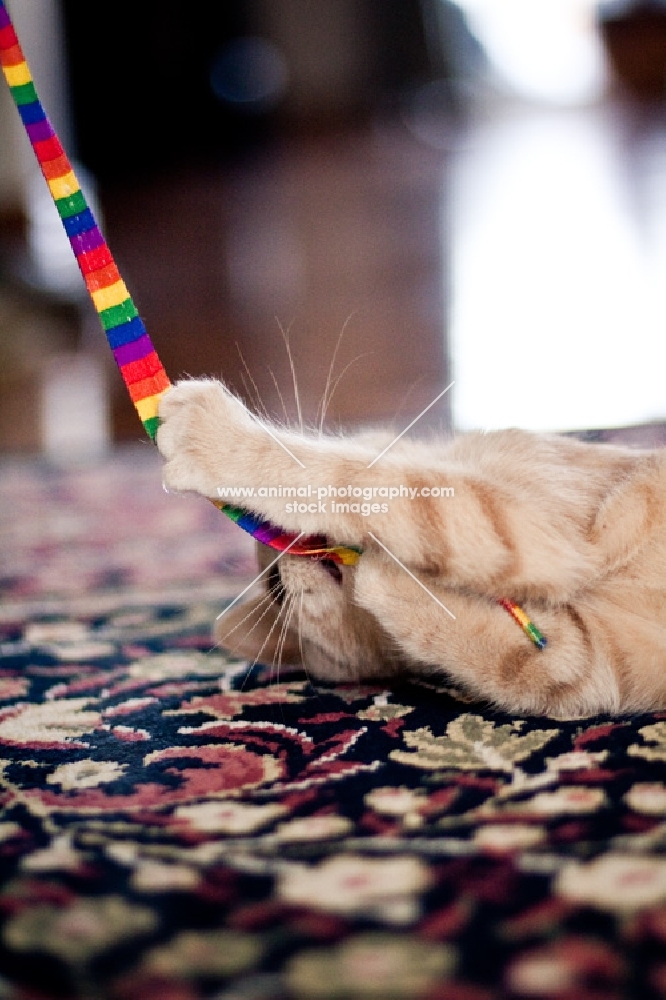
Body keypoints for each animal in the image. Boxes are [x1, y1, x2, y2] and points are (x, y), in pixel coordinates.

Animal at [157, 376, 666, 720]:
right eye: (277, 590)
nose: (291, 545)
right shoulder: (585, 667)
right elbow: (506, 659)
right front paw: (391, 582)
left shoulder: (539, 524)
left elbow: (363, 477)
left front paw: (215, 437)